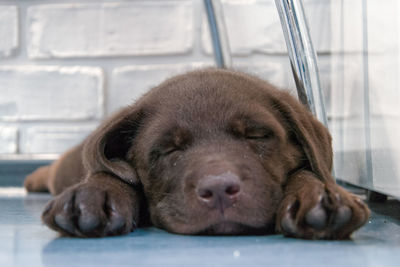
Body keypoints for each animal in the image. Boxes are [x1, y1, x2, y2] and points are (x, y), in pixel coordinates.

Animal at [23, 68, 370, 240]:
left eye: (256, 135)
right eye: (168, 149)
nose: (219, 189)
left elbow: (308, 171)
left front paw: (319, 196)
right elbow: (109, 173)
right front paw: (94, 194)